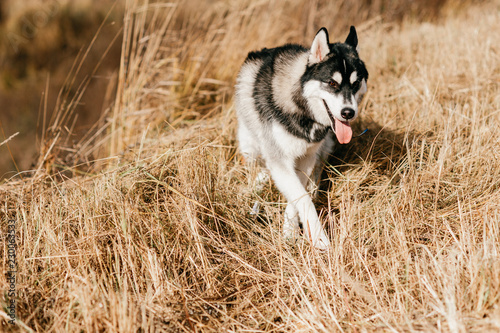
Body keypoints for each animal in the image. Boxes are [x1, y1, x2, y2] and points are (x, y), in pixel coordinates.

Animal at [234, 26, 368, 248]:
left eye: (356, 83)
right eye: (332, 83)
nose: (348, 113)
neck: (303, 111)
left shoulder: (306, 158)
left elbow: (298, 196)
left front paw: (290, 231)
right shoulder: (280, 159)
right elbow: (302, 198)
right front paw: (320, 239)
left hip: (324, 147)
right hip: (250, 146)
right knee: (258, 167)